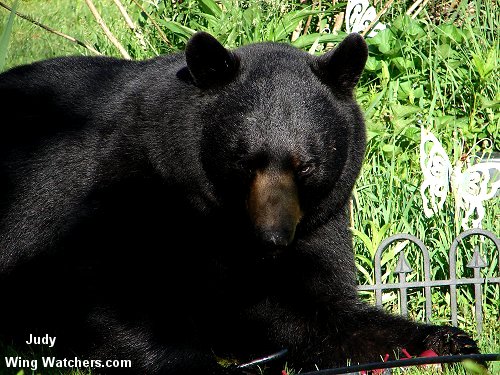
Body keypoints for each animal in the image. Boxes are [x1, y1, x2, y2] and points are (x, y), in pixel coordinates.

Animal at [0, 31, 480, 374]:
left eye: (306, 165)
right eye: (243, 159)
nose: (273, 239)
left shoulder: (316, 225)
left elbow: (313, 311)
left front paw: (445, 340)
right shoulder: (115, 194)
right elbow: (106, 292)